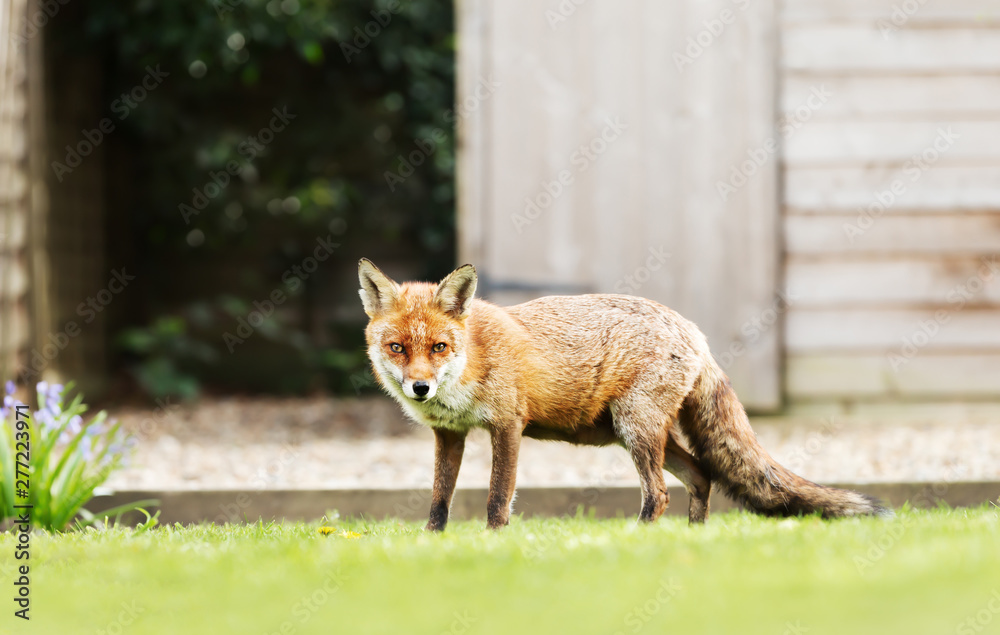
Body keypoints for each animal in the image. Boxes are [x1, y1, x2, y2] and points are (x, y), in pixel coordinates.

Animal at [359, 258, 891, 531]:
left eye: (439, 346)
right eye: (398, 347)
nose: (420, 387)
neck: (475, 357)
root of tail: (692, 329)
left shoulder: (508, 426)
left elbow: (496, 499)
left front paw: (492, 546)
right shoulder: (449, 436)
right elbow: (438, 500)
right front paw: (433, 545)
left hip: (636, 430)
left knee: (659, 494)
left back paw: (638, 544)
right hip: (636, 433)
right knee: (700, 477)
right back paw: (693, 540)